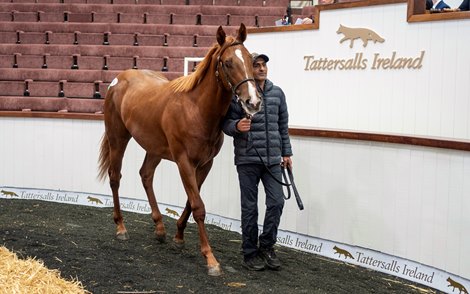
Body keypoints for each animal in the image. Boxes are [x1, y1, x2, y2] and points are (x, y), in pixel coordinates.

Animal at [98, 24, 262, 276]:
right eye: (227, 63)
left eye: (249, 60)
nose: (252, 102)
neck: (196, 109)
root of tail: (118, 79)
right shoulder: (184, 162)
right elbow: (198, 206)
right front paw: (211, 259)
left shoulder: (205, 164)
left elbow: (190, 201)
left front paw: (178, 236)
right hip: (118, 139)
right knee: (115, 177)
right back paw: (121, 228)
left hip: (154, 148)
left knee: (146, 175)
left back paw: (159, 228)